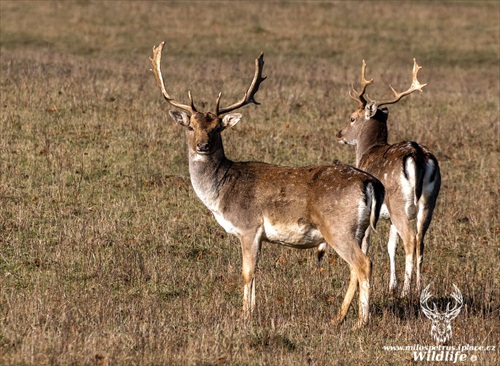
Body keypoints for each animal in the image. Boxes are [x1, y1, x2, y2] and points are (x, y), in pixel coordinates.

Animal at [150, 42, 384, 326]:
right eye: (190, 127)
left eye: (217, 128)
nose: (202, 145)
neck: (221, 194)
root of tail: (371, 183)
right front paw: (249, 311)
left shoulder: (248, 226)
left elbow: (247, 272)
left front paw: (244, 315)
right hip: (363, 231)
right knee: (356, 267)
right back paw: (338, 317)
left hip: (338, 226)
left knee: (363, 265)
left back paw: (361, 321)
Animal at [336, 58, 442, 298]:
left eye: (352, 118)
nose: (339, 134)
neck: (367, 151)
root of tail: (417, 156)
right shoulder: (390, 218)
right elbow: (391, 246)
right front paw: (391, 284)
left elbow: (366, 244)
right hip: (428, 202)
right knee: (420, 240)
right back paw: (419, 289)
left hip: (398, 202)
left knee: (411, 240)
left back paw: (406, 292)